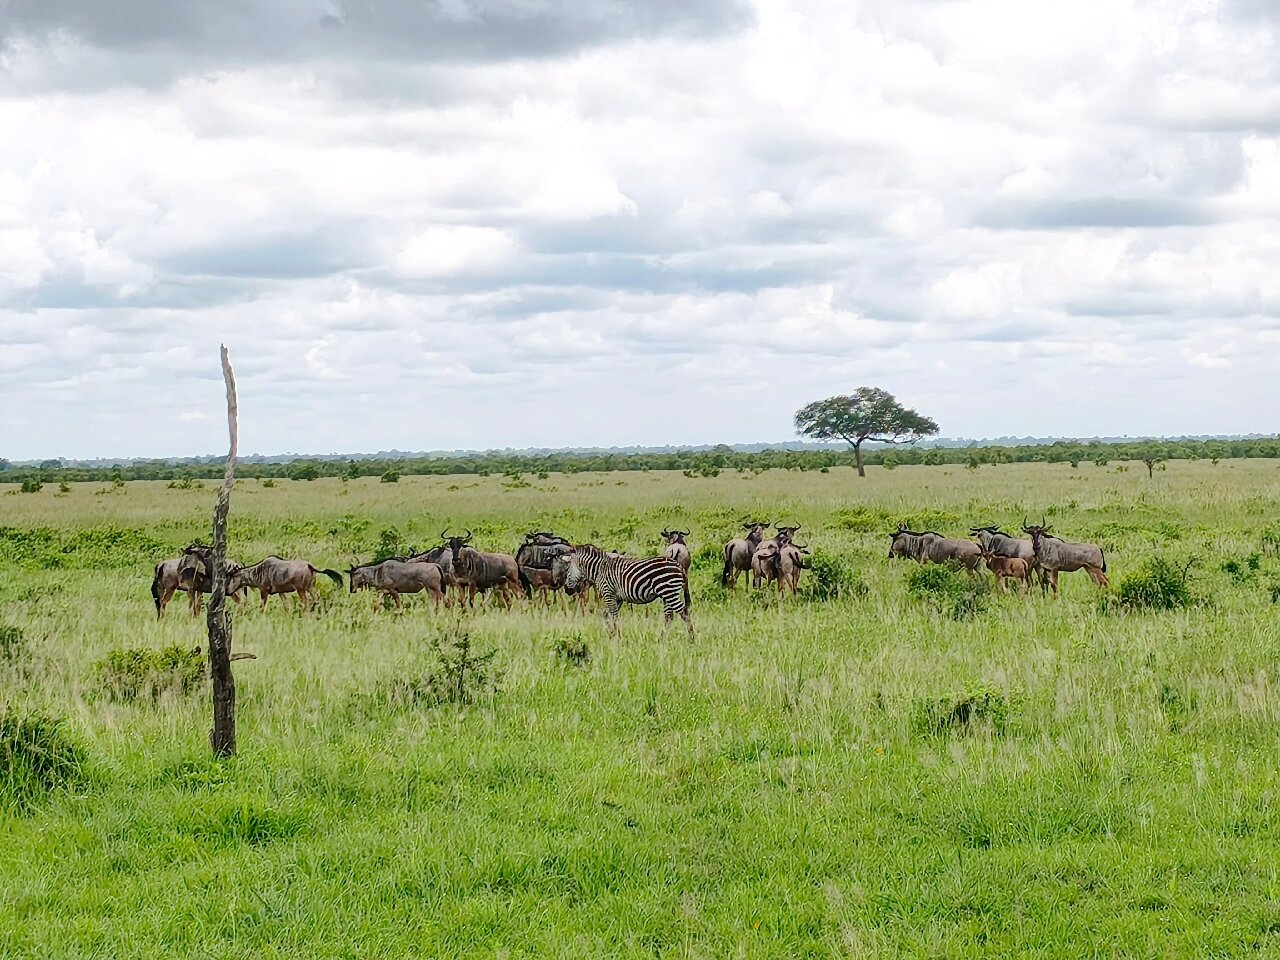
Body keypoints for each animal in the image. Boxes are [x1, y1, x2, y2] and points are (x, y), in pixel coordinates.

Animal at [562, 544, 694, 640]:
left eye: (567, 570)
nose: (567, 590)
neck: (600, 569)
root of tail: (678, 566)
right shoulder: (617, 598)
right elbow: (606, 614)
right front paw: (611, 633)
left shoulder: (608, 594)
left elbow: (614, 616)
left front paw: (617, 636)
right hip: (667, 594)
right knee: (669, 616)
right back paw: (661, 639)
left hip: (669, 592)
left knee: (684, 612)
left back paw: (691, 639)